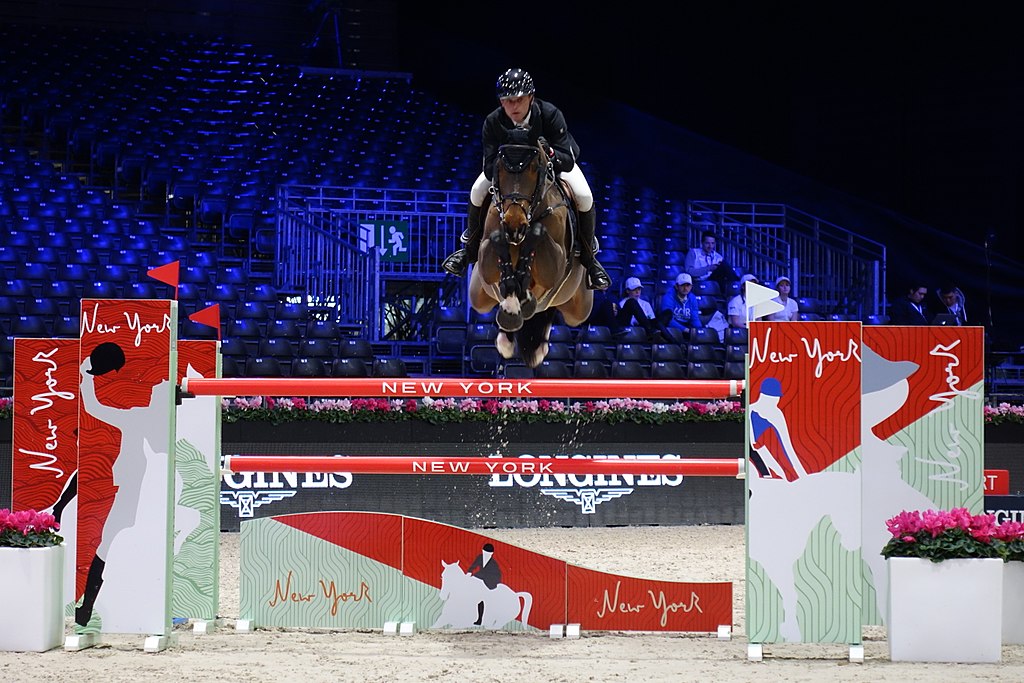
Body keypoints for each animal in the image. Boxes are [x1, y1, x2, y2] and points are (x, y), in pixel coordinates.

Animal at [468, 135, 593, 368]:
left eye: (535, 169)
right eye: (499, 169)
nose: (514, 225)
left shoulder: (554, 265)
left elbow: (537, 234)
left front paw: (523, 298)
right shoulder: (487, 260)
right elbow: (497, 242)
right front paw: (512, 304)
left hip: (579, 308)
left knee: (552, 308)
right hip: (478, 294)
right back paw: (507, 333)